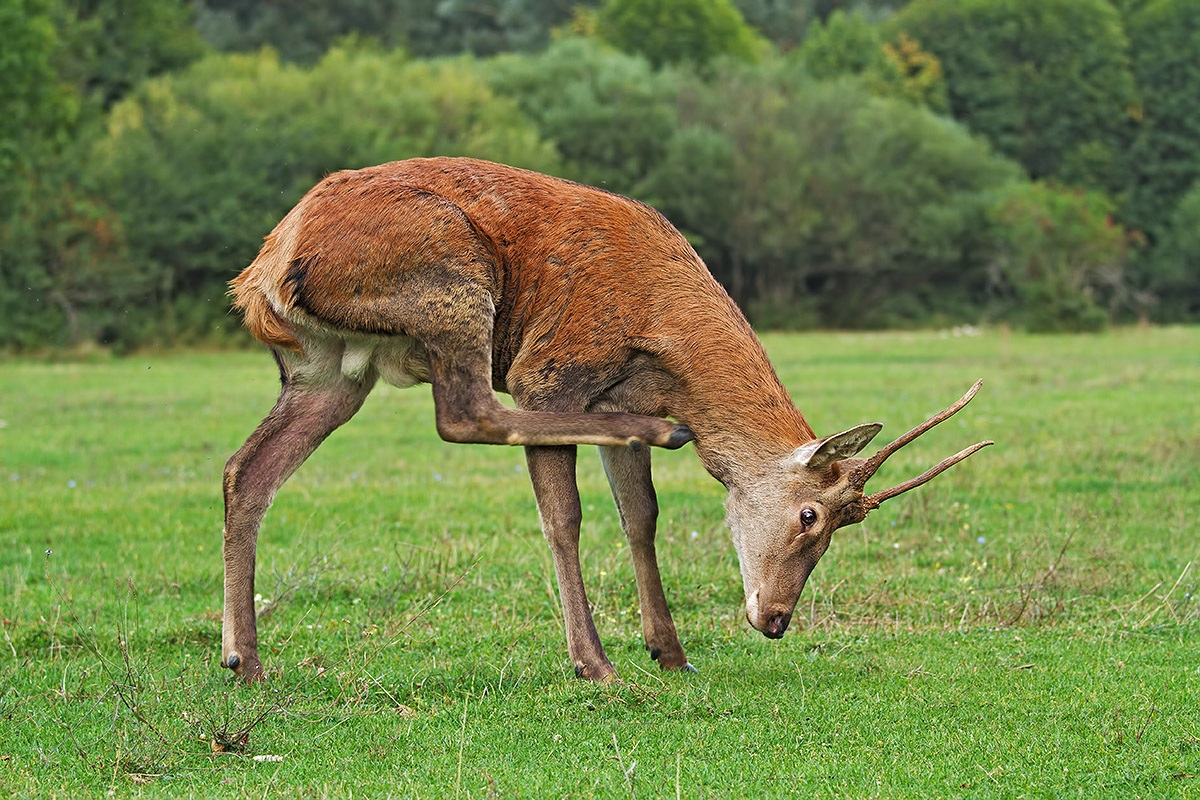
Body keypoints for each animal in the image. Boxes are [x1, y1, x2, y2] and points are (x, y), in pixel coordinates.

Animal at [222, 157, 992, 684]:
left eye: (845, 524)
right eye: (812, 515)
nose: (775, 621)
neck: (665, 343)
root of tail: (265, 269)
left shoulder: (621, 395)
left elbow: (641, 515)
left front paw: (670, 651)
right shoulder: (549, 371)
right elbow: (564, 517)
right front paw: (593, 661)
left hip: (327, 370)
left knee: (245, 471)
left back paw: (244, 660)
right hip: (454, 284)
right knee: (465, 413)